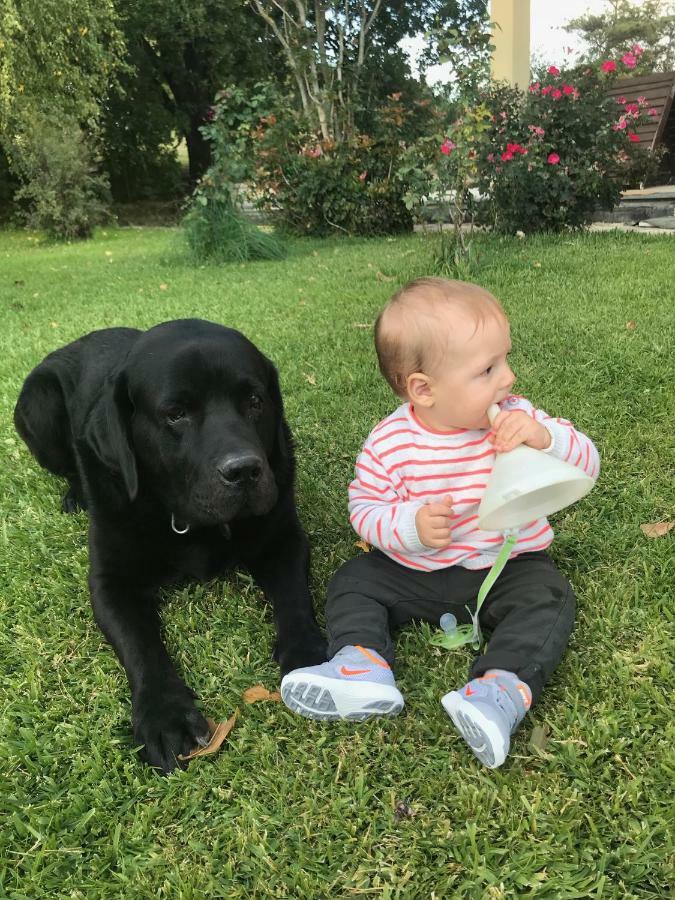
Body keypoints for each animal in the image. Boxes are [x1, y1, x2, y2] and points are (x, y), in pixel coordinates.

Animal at [12, 320, 324, 768]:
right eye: (176, 414)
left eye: (254, 401)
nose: (245, 470)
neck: (189, 522)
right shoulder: (111, 581)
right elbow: (141, 646)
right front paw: (165, 714)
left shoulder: (283, 538)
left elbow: (294, 597)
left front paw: (306, 652)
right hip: (39, 405)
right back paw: (74, 495)